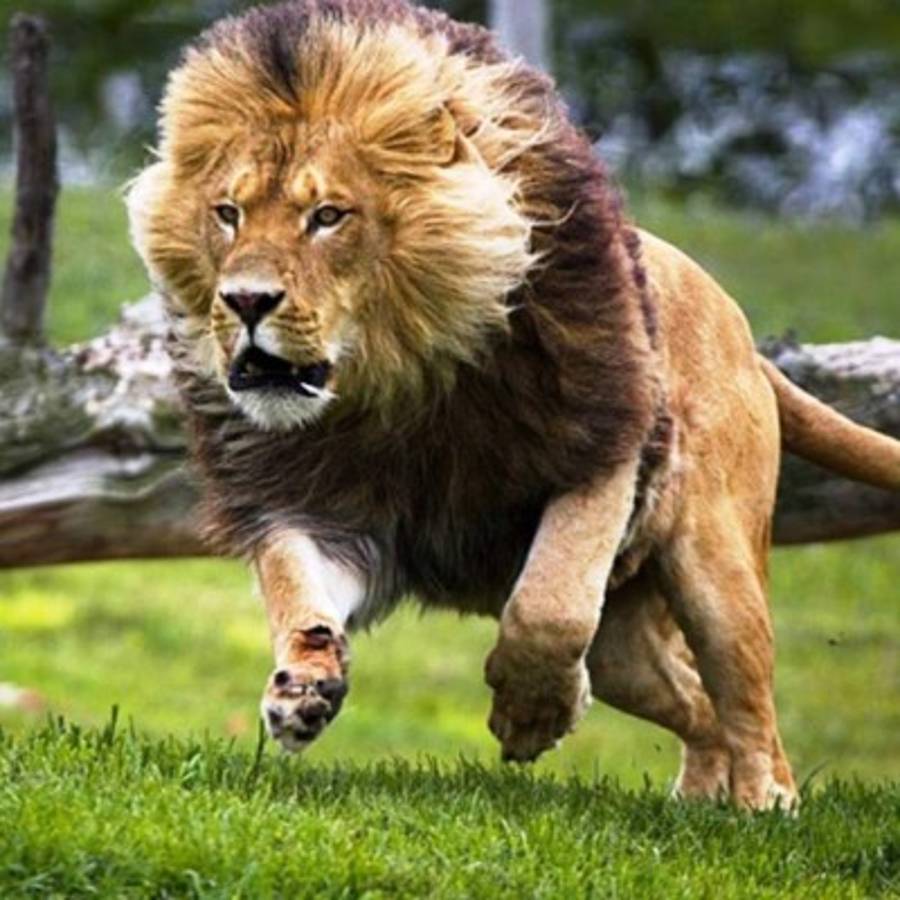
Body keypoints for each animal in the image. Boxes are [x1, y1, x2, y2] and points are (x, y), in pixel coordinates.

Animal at [127, 0, 900, 808]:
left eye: (329, 216)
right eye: (227, 213)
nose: (244, 301)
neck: (398, 386)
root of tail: (745, 335)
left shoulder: (602, 447)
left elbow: (548, 607)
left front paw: (533, 716)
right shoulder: (320, 504)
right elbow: (295, 588)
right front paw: (301, 688)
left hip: (717, 567)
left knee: (748, 703)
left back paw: (761, 804)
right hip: (629, 647)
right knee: (694, 698)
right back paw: (697, 798)